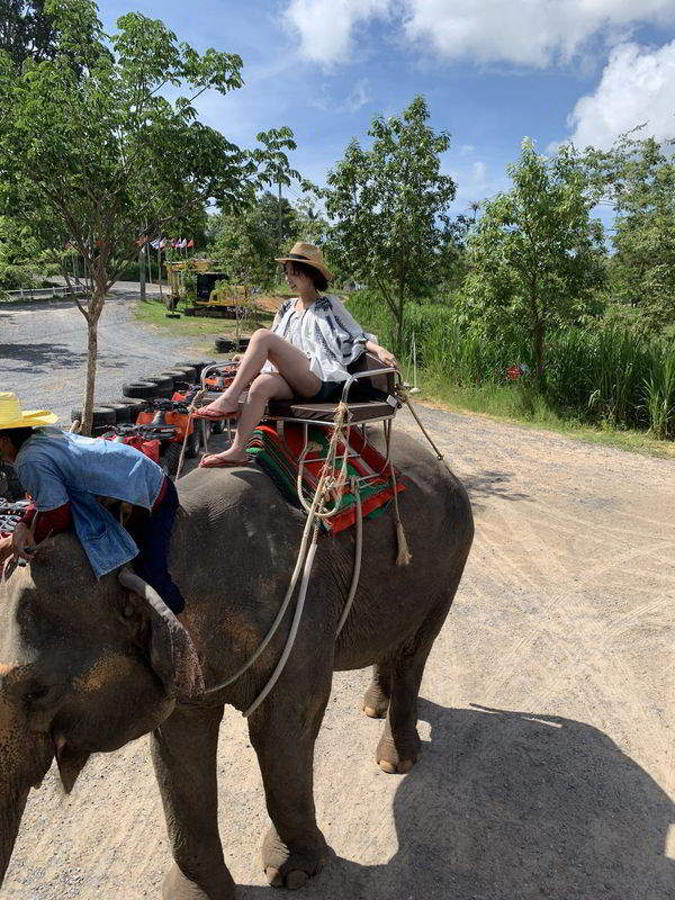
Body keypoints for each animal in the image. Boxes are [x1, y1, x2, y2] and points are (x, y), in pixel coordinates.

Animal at [0, 432, 476, 896]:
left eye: (37, 692)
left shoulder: (299, 609)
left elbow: (282, 727)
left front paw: (294, 875)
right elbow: (180, 743)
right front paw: (198, 893)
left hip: (451, 562)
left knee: (416, 651)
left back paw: (395, 762)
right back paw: (373, 706)